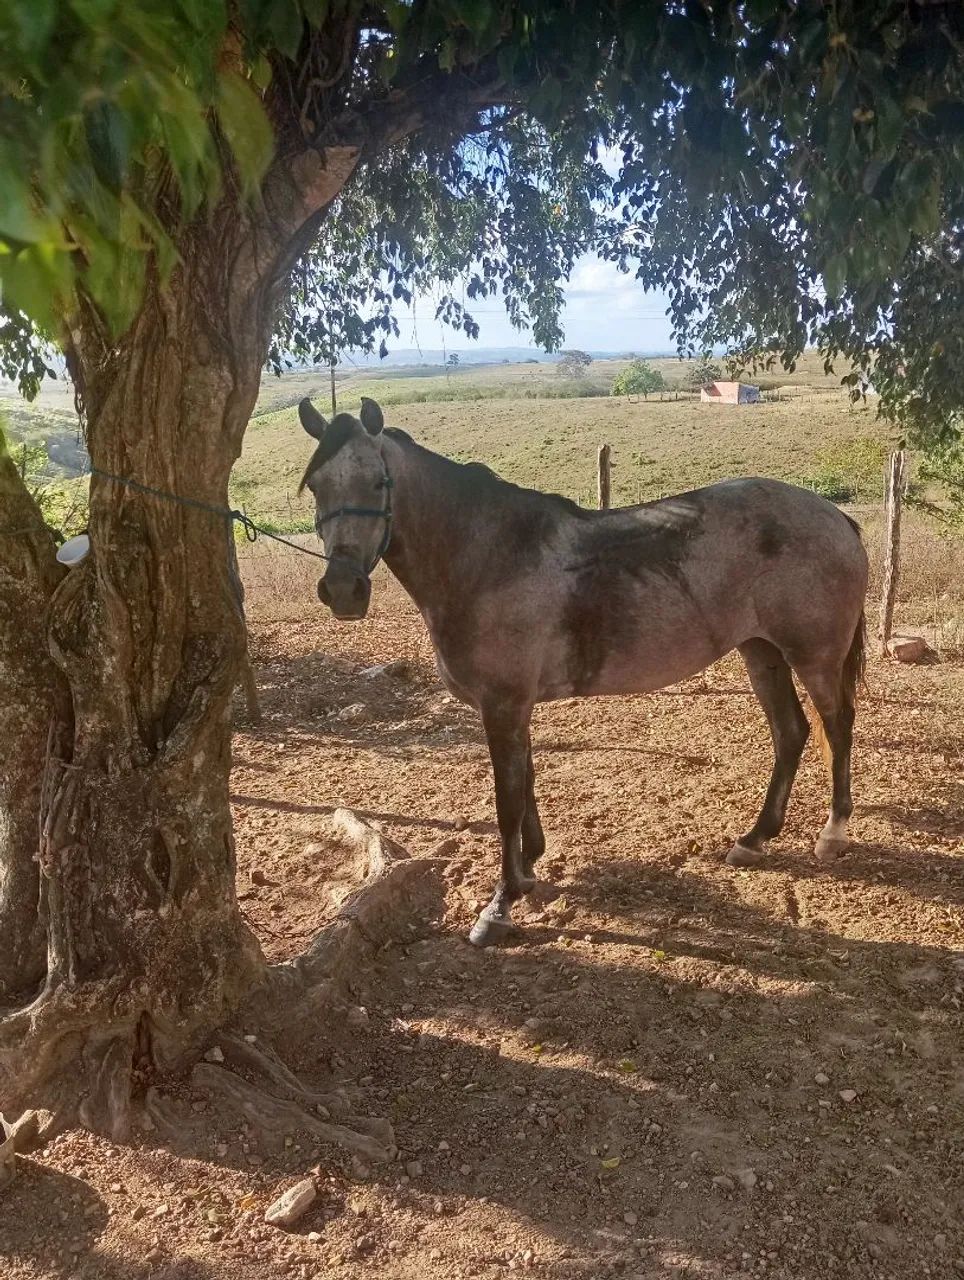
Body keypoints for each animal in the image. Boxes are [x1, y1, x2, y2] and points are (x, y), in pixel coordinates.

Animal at [297, 396, 868, 947]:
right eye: (316, 486)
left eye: (379, 481)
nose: (343, 589)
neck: (486, 557)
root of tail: (834, 515)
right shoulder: (512, 707)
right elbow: (525, 782)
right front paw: (528, 869)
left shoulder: (503, 704)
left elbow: (507, 801)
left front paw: (500, 905)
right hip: (760, 651)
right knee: (791, 732)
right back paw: (754, 839)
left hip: (814, 657)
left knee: (838, 727)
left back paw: (833, 833)